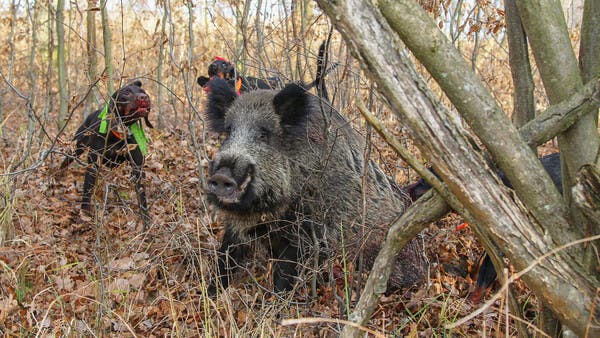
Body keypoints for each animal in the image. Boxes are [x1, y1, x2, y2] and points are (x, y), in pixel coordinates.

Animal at [60, 80, 152, 227]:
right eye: (126, 93)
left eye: (143, 91)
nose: (144, 97)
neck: (119, 134)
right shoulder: (93, 165)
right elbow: (87, 192)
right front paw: (83, 217)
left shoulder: (138, 168)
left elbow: (142, 198)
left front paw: (146, 224)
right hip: (76, 147)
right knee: (64, 163)